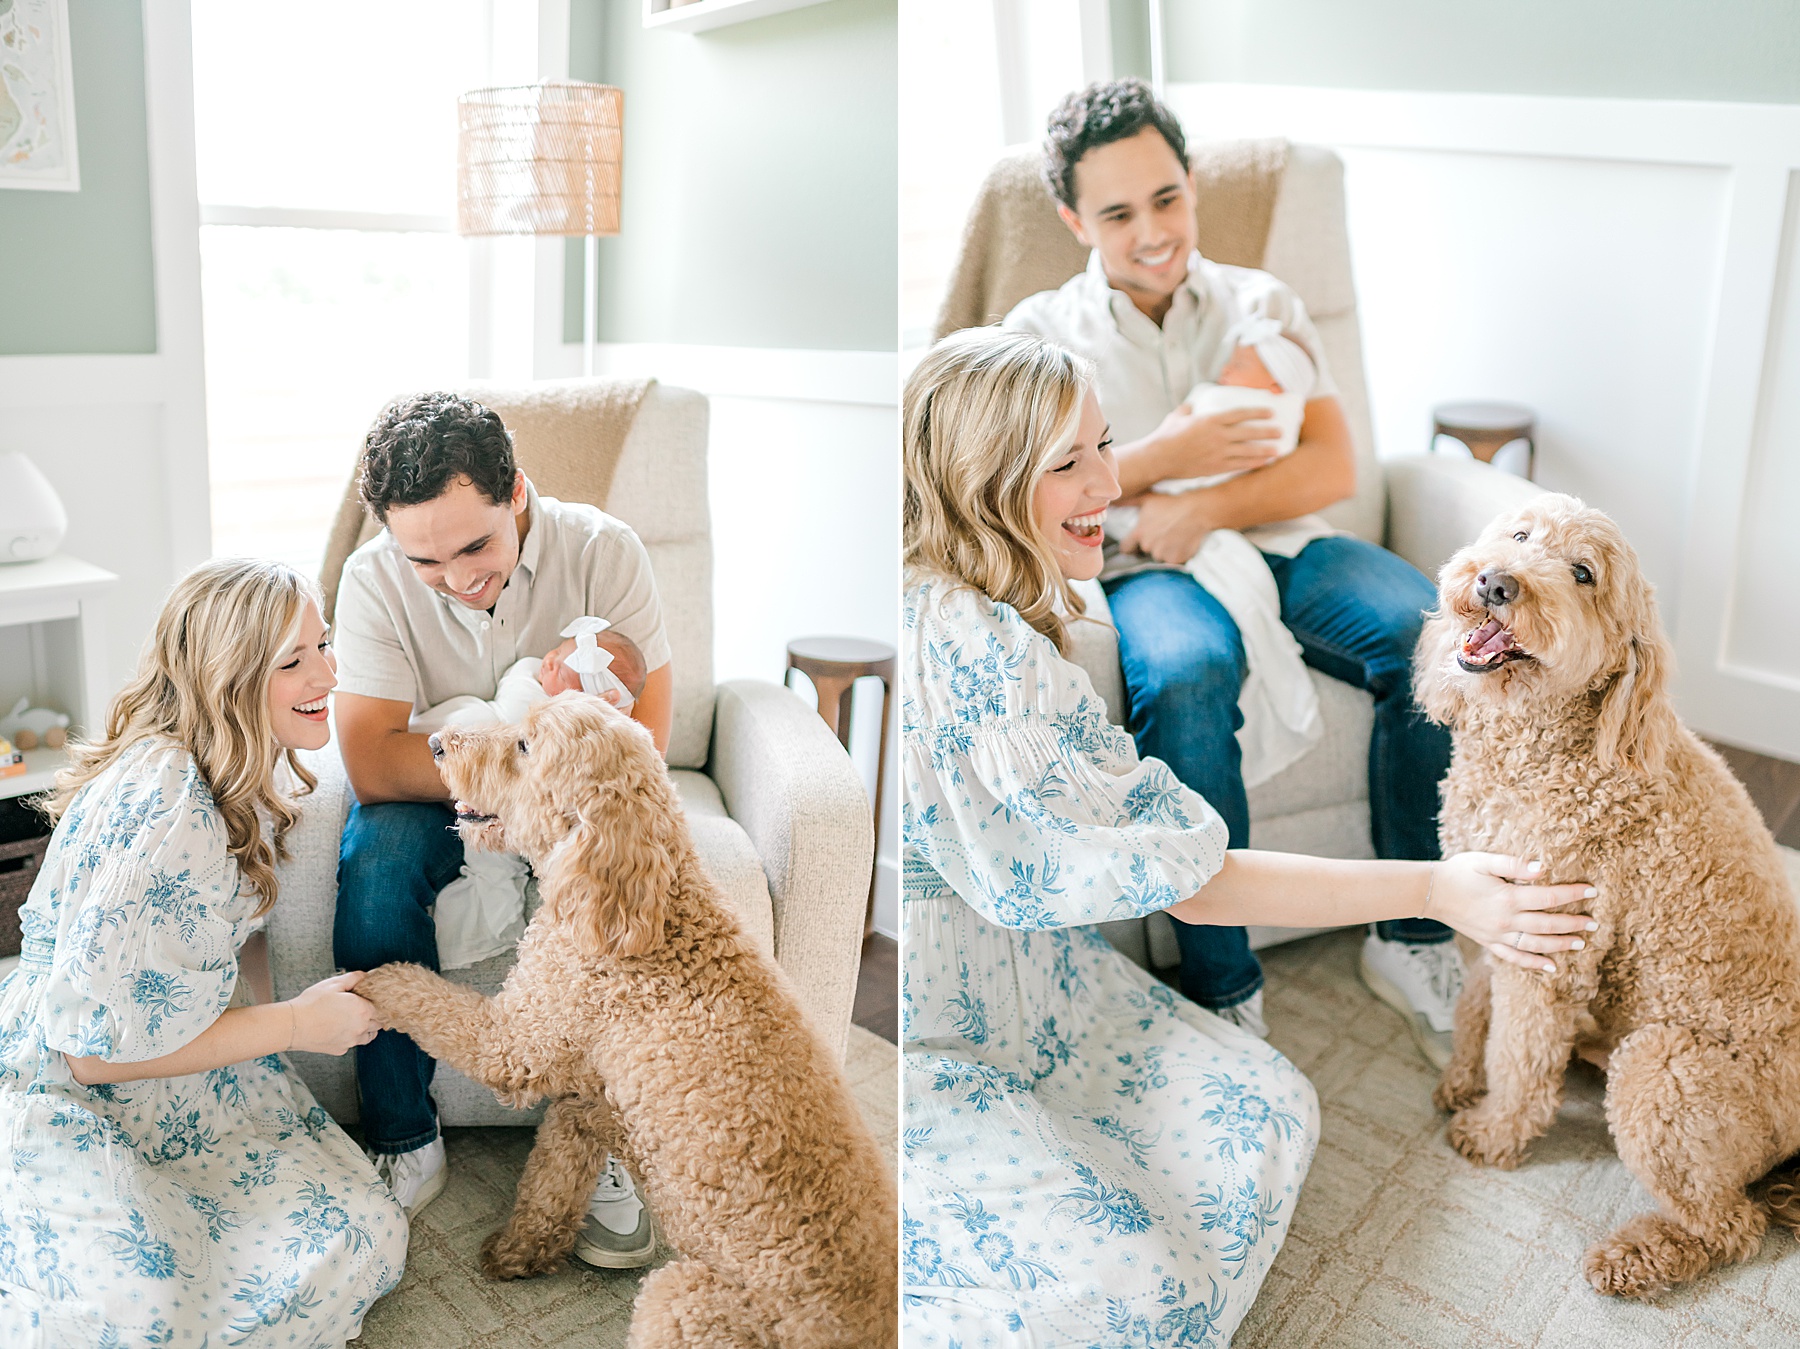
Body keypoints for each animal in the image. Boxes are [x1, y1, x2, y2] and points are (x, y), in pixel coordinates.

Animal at [356, 688, 900, 1339]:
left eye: (524, 745)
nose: (438, 744)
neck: (644, 916)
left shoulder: (515, 1044)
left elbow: (427, 998)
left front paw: (375, 979)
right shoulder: (592, 1098)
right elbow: (555, 1167)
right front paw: (521, 1248)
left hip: (681, 1302)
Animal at [1411, 493, 1800, 1296]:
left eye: (1583, 574)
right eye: (1520, 533)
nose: (1496, 582)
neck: (1546, 753)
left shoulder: (1548, 952)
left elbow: (1521, 1057)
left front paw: (1493, 1129)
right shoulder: (1495, 911)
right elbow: (1476, 1007)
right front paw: (1463, 1075)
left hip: (1661, 1069)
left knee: (1733, 1225)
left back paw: (1636, 1256)